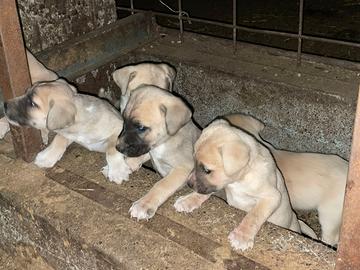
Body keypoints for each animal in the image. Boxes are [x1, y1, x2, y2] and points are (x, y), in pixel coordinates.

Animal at [115, 84, 200, 219]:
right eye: (124, 121)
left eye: (141, 127)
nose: (118, 147)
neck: (165, 141)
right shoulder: (149, 148)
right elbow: (144, 154)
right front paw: (122, 167)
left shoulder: (183, 167)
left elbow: (162, 185)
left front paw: (144, 205)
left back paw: (187, 201)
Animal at [176, 113, 348, 246]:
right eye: (194, 161)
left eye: (207, 170)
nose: (188, 183)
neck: (241, 179)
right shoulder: (221, 187)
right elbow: (205, 192)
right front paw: (187, 200)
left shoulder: (272, 196)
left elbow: (254, 215)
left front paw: (242, 236)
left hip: (328, 215)